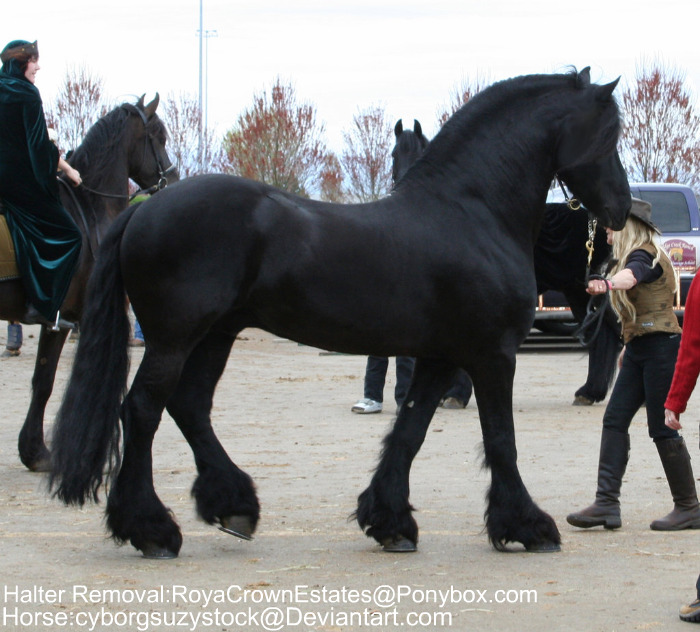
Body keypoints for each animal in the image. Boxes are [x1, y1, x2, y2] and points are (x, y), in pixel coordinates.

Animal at [0, 94, 178, 470]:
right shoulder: (71, 317)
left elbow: (41, 379)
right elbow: (54, 380)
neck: (89, 208)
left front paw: (33, 450)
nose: (173, 178)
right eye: (159, 136)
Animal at [52, 68, 632, 556]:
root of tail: (144, 209)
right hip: (175, 339)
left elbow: (410, 431)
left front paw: (389, 521)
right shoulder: (492, 356)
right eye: (608, 136)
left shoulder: (441, 357)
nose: (622, 208)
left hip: (215, 334)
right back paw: (151, 528)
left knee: (190, 406)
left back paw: (234, 507)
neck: (471, 212)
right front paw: (528, 526)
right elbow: (501, 441)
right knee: (142, 410)